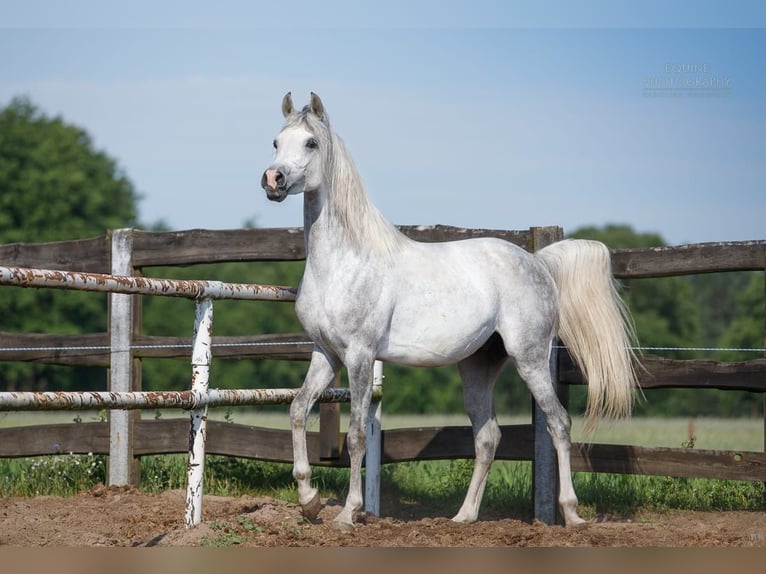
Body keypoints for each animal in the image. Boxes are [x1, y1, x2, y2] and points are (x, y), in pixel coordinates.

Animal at [260, 92, 640, 532]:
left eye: (311, 143)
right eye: (275, 141)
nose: (273, 180)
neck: (342, 262)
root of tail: (539, 262)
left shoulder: (359, 355)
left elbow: (355, 435)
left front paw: (347, 513)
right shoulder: (326, 354)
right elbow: (297, 410)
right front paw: (309, 500)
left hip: (530, 359)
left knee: (559, 423)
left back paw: (572, 514)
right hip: (478, 365)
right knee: (489, 436)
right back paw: (464, 516)